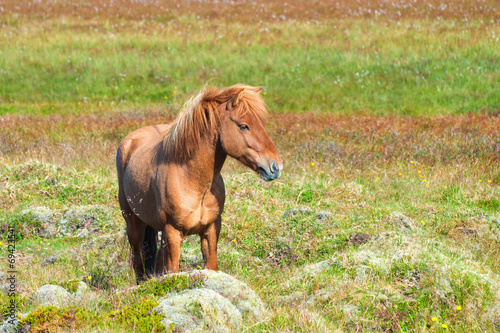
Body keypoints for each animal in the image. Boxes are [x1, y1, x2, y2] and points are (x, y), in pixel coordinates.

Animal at [115, 84, 284, 282]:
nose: (276, 166)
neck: (194, 181)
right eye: (244, 126)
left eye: (262, 124)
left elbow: (211, 266)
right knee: (138, 264)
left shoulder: (210, 230)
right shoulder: (173, 233)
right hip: (134, 225)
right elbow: (173, 271)